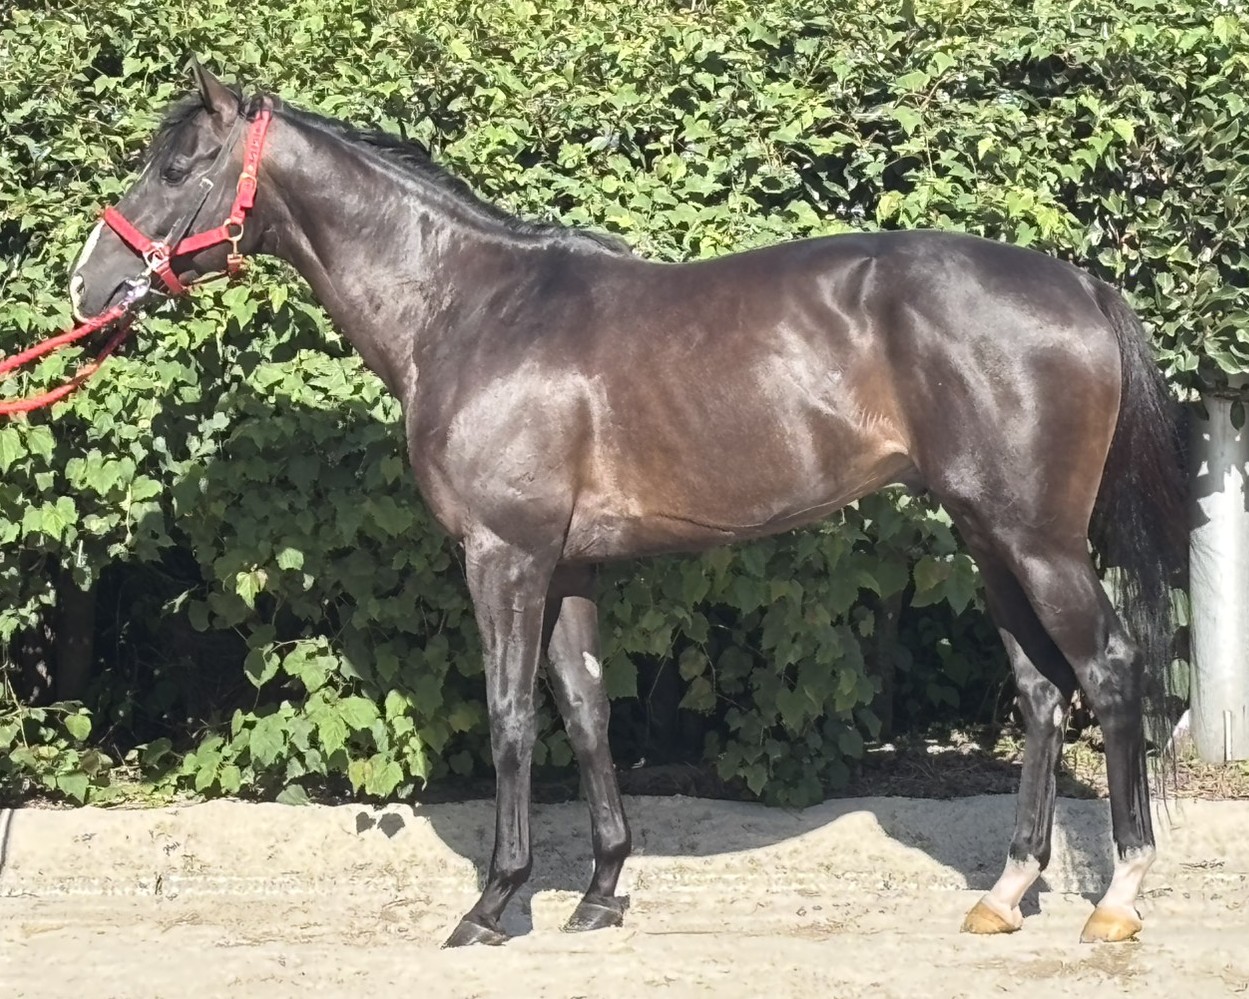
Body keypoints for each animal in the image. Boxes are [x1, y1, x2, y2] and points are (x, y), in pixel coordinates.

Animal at [68, 61, 1187, 948]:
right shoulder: (569, 564)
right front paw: (600, 889)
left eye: (178, 169)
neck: (470, 310)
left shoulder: (504, 555)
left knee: (1109, 669)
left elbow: (512, 716)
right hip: (987, 536)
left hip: (1039, 542)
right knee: (1040, 690)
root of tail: (1082, 288)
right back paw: (1006, 889)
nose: (88, 286)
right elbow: (588, 709)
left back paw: (1119, 895)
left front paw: (495, 902)